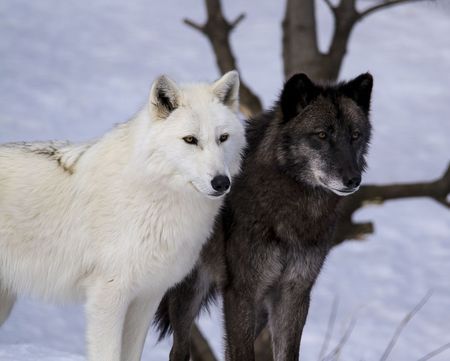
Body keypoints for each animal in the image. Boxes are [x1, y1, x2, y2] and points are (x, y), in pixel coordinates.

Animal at [155, 72, 372, 360]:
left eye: (355, 135)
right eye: (322, 135)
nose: (353, 180)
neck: (295, 211)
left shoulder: (294, 292)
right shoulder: (242, 292)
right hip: (190, 291)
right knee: (178, 350)